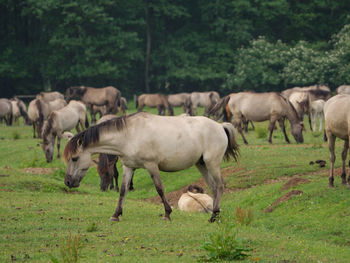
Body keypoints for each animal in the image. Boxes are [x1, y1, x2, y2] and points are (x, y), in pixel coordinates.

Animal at [62, 112, 238, 224]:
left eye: (74, 158)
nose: (68, 182)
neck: (129, 135)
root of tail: (220, 126)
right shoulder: (128, 167)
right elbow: (123, 191)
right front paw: (116, 215)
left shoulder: (151, 165)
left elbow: (159, 188)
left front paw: (167, 214)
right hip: (202, 164)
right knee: (213, 187)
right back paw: (215, 215)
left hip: (212, 163)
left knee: (220, 185)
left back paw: (213, 217)